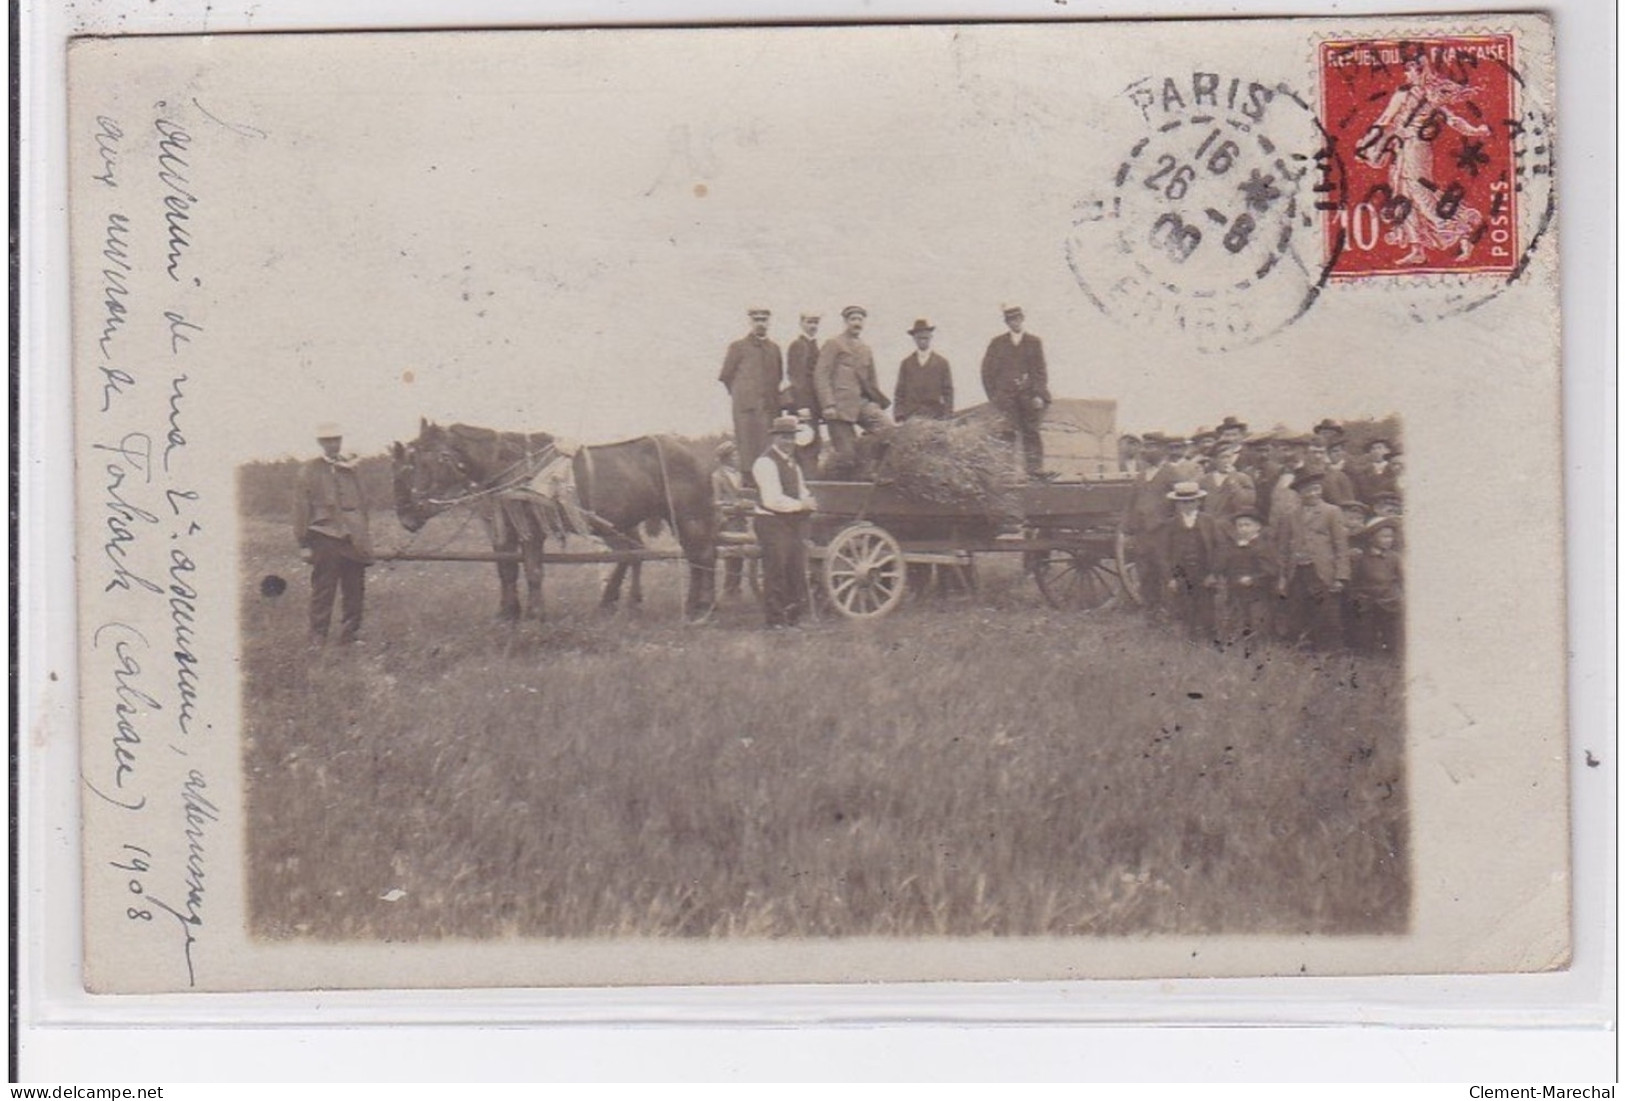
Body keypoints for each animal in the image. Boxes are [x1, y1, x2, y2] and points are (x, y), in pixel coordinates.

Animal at [386, 422, 718, 626]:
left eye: (425, 463)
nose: (407, 517)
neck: (512, 467)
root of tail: (695, 455)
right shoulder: (505, 529)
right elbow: (506, 572)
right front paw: (508, 613)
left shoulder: (531, 531)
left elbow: (533, 571)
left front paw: (536, 614)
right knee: (654, 554)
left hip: (688, 517)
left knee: (700, 556)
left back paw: (699, 607)